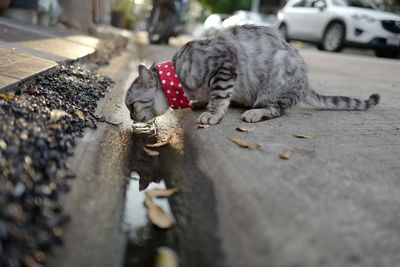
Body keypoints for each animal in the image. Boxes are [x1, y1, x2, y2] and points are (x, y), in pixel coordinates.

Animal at [126, 24, 380, 125]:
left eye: (130, 105)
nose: (129, 117)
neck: (179, 75)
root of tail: (306, 83)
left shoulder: (224, 67)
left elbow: (219, 97)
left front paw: (212, 114)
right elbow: (211, 96)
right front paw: (200, 102)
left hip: (277, 80)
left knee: (278, 109)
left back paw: (256, 112)